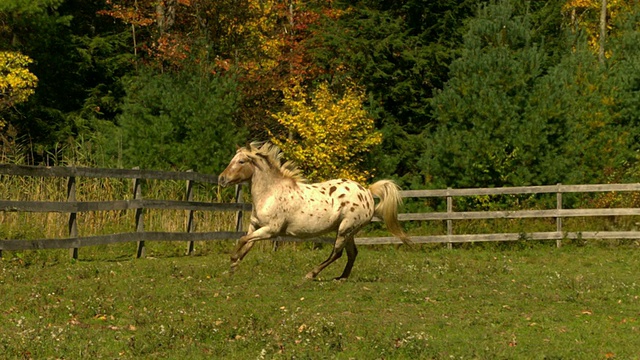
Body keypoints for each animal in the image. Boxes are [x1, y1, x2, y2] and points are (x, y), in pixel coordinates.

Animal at [218, 142, 412, 280]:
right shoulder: (255, 226)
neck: (270, 192)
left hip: (344, 230)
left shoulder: (271, 230)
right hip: (349, 231)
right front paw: (233, 267)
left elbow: (243, 240)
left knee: (337, 253)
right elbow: (247, 243)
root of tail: (367, 192)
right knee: (352, 253)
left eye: (241, 161)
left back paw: (311, 274)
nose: (221, 179)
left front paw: (233, 260)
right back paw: (341, 278)